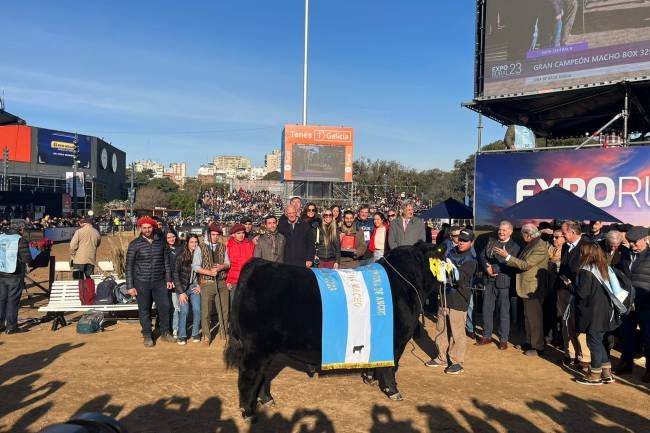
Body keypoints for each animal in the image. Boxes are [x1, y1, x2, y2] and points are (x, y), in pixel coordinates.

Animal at [224, 241, 446, 416]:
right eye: (441, 256)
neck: (404, 283)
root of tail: (258, 264)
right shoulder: (396, 340)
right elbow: (390, 367)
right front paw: (393, 391)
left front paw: (370, 379)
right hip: (256, 347)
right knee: (249, 376)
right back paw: (248, 411)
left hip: (266, 349)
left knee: (262, 376)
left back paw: (267, 400)